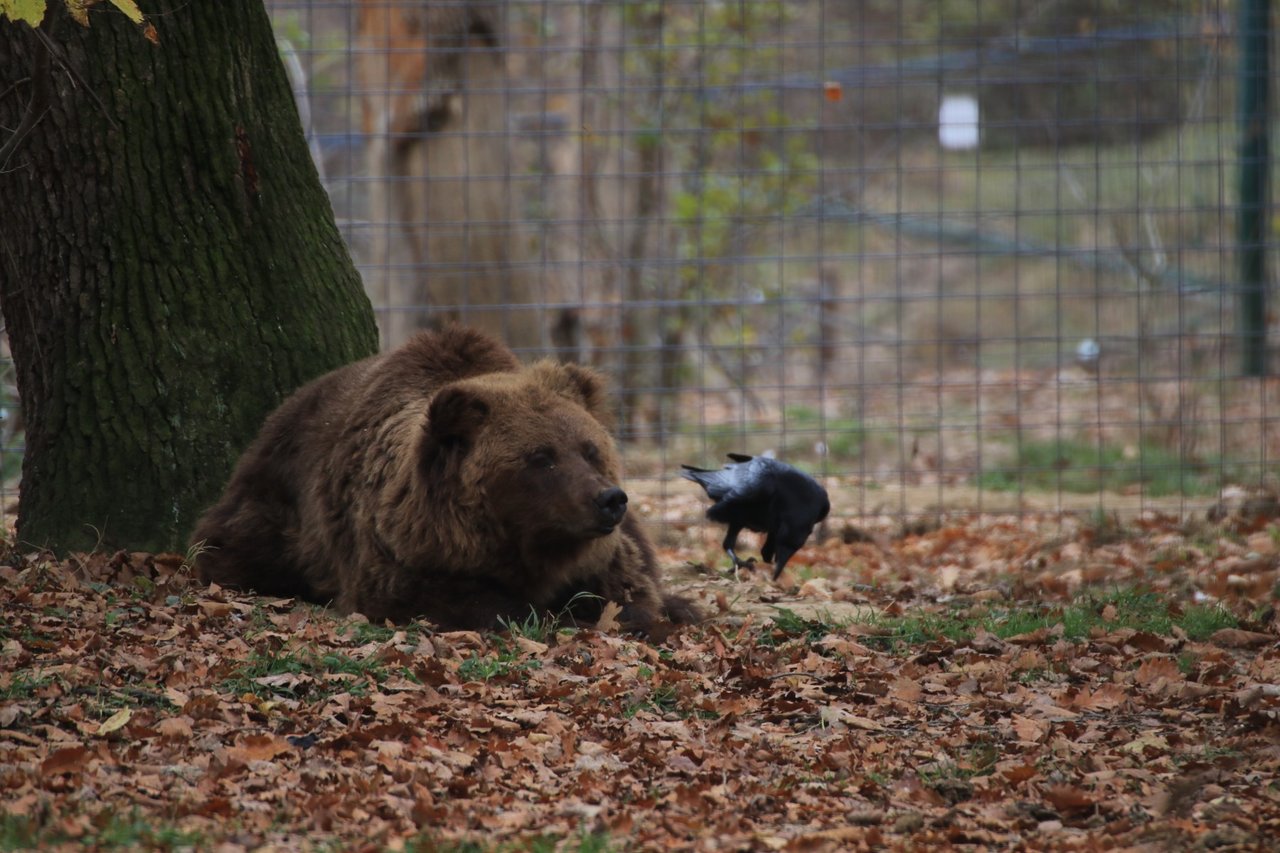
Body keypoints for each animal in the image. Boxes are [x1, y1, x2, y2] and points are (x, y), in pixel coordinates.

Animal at [189, 325, 701, 630]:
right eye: (542, 457)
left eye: (590, 450)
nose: (609, 499)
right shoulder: (396, 549)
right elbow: (441, 598)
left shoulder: (604, 552)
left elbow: (632, 591)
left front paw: (658, 611)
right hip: (274, 506)